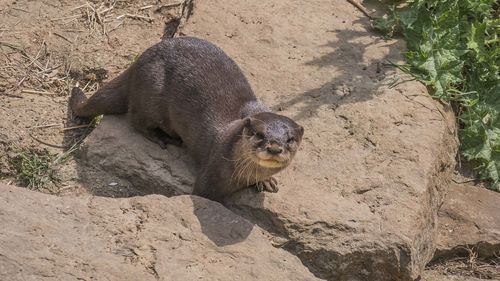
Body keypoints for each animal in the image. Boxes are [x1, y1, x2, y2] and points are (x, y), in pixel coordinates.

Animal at [70, 36, 304, 201]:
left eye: (290, 139)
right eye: (259, 134)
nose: (274, 148)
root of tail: (140, 61)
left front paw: (267, 182)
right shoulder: (210, 175)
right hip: (151, 94)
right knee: (136, 119)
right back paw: (163, 138)